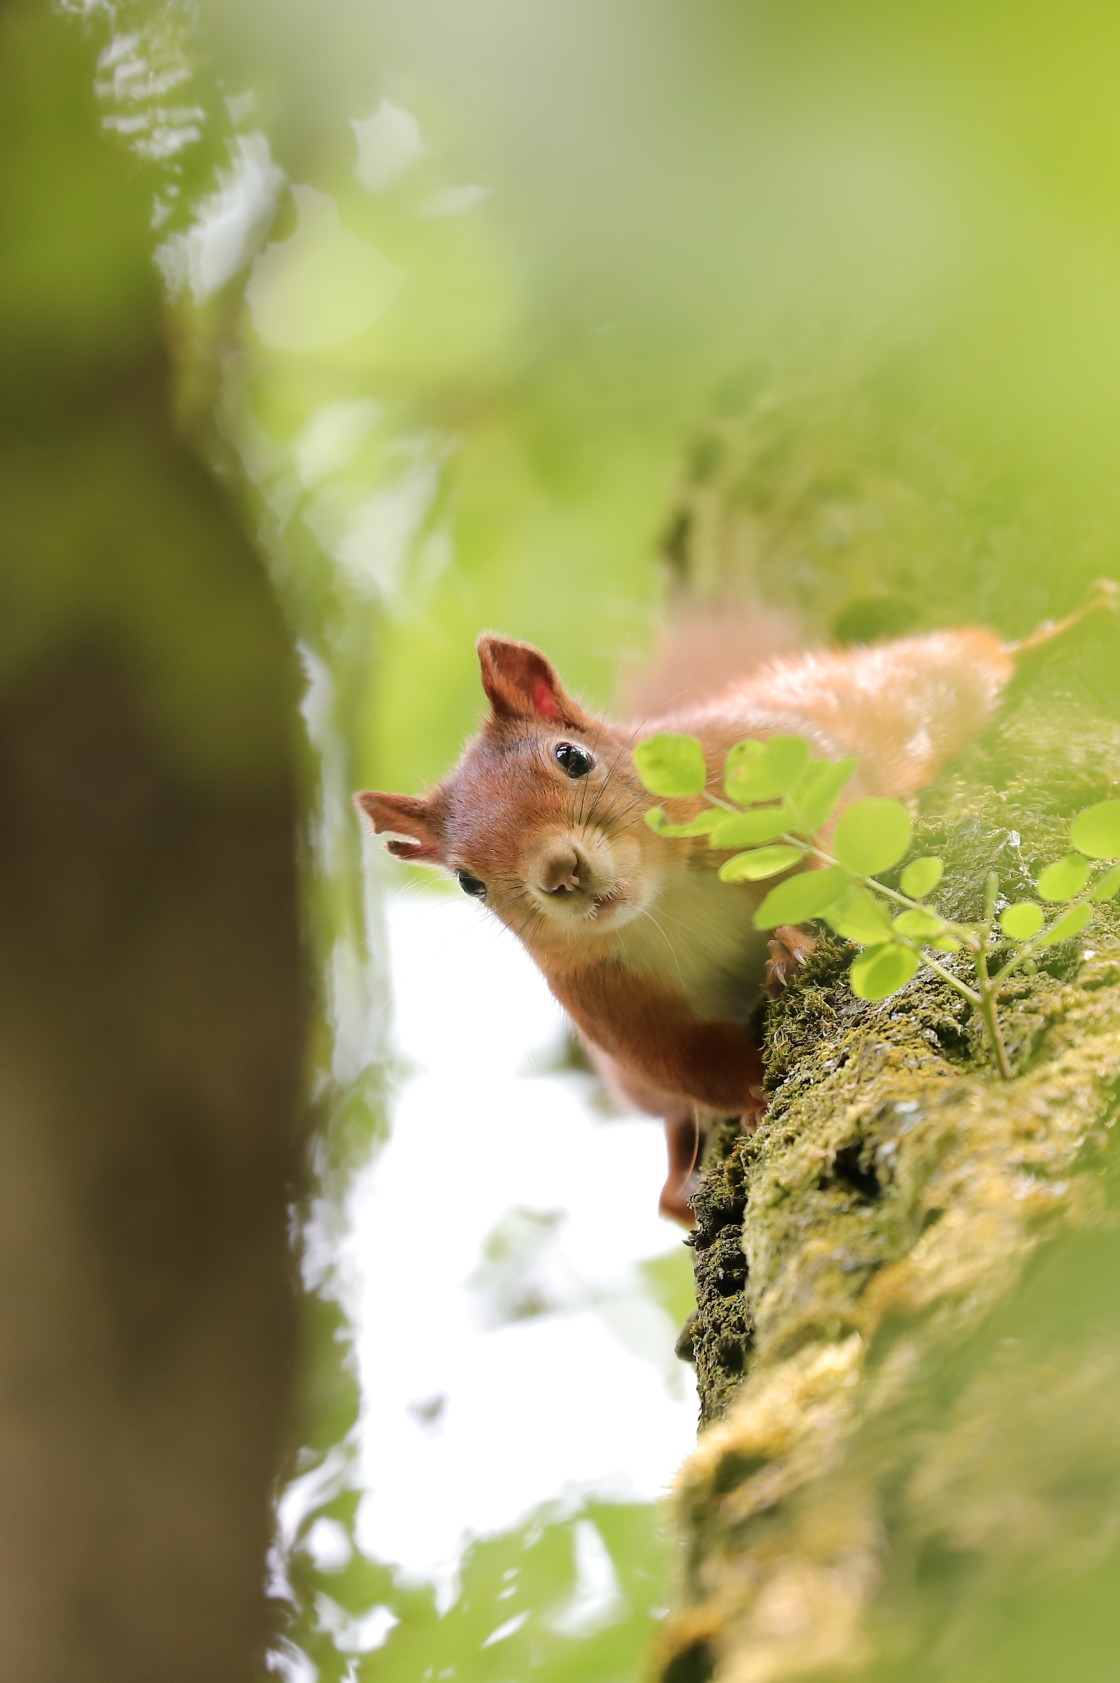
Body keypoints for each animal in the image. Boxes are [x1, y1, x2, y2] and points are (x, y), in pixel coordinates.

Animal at [355, 592, 1111, 1225]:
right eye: (468, 882)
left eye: (571, 757)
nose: (559, 872)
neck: (666, 900)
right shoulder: (608, 1003)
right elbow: (688, 1062)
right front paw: (753, 1098)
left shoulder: (765, 777)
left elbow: (823, 851)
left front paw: (792, 944)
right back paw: (678, 1187)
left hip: (908, 689)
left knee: (974, 659)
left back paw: (1067, 628)